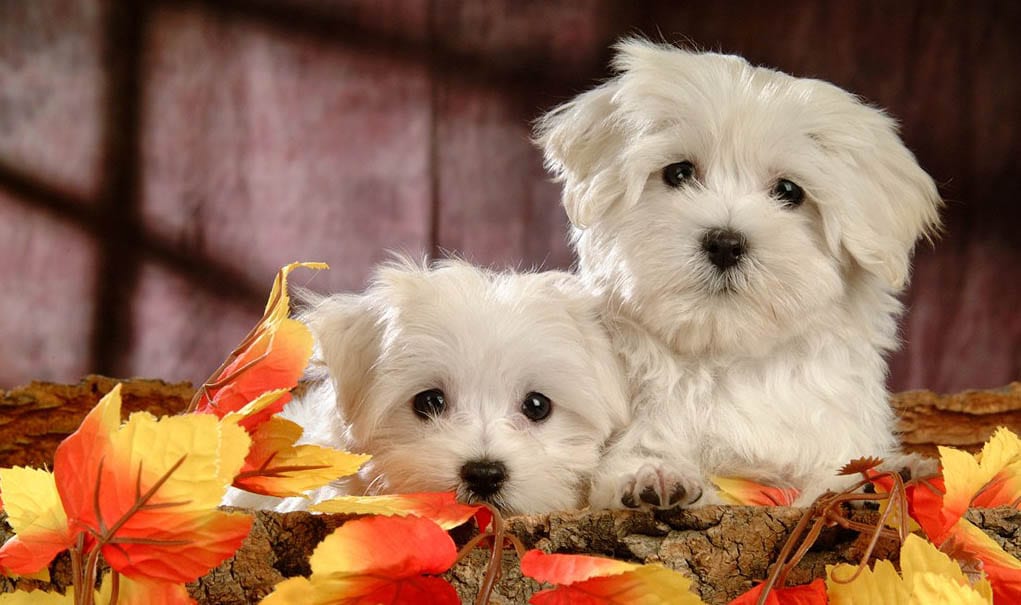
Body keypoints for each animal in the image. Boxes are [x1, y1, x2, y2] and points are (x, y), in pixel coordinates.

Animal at [535, 40, 939, 508]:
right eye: (678, 172)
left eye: (789, 191)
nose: (725, 243)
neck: (725, 359)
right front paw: (653, 475)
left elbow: (828, 476)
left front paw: (875, 478)